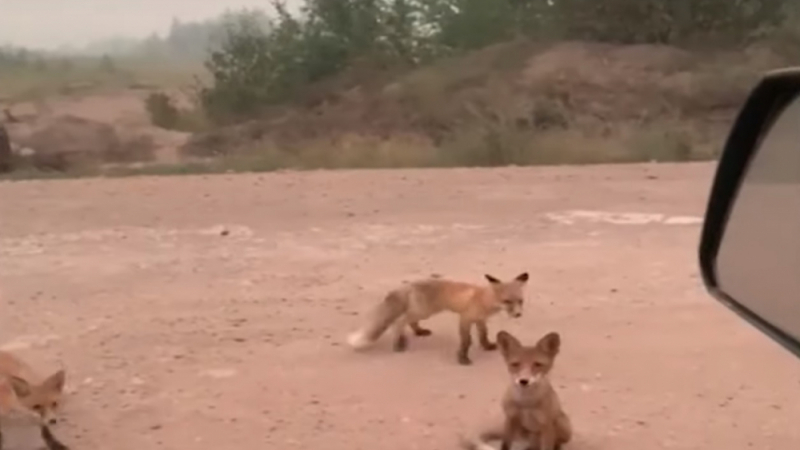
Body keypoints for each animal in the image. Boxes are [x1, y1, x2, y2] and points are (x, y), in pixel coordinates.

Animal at [346, 270, 528, 366]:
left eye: (520, 301)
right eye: (507, 301)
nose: (518, 314)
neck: (483, 298)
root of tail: (409, 285)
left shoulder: (480, 320)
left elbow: (483, 335)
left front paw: (487, 346)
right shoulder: (465, 319)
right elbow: (466, 341)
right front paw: (462, 358)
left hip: (422, 311)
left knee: (408, 321)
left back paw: (418, 332)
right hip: (425, 311)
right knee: (400, 321)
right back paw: (399, 343)